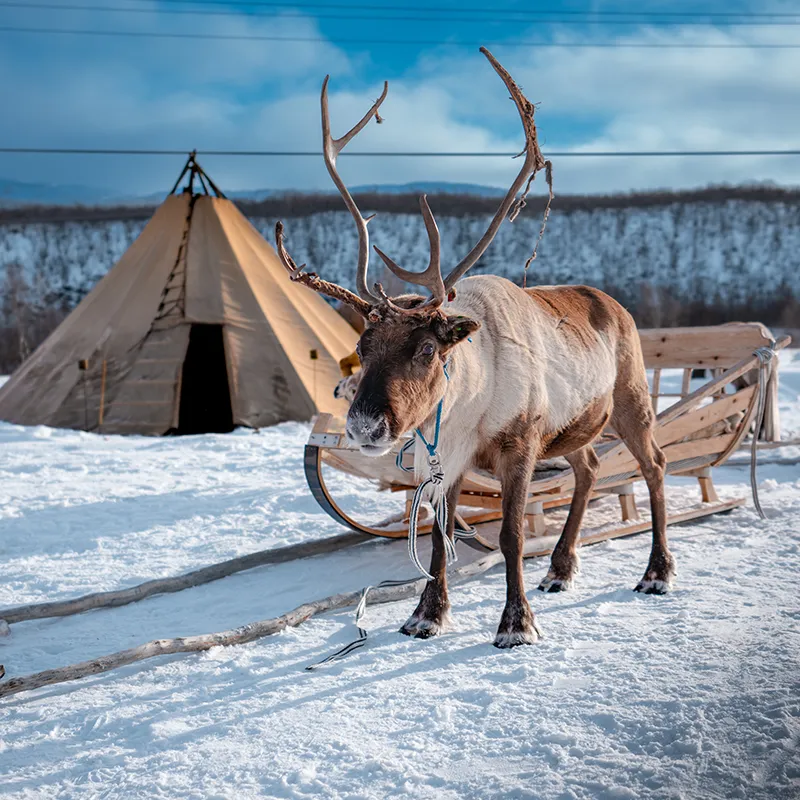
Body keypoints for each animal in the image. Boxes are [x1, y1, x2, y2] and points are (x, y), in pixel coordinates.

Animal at [275, 48, 675, 648]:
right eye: (362, 345)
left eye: (425, 349)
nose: (365, 426)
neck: (469, 404)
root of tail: (616, 304)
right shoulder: (445, 458)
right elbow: (440, 536)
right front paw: (426, 615)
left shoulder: (521, 443)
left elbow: (510, 534)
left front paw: (515, 623)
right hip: (573, 427)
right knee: (587, 468)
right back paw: (560, 569)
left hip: (630, 400)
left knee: (654, 465)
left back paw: (656, 572)